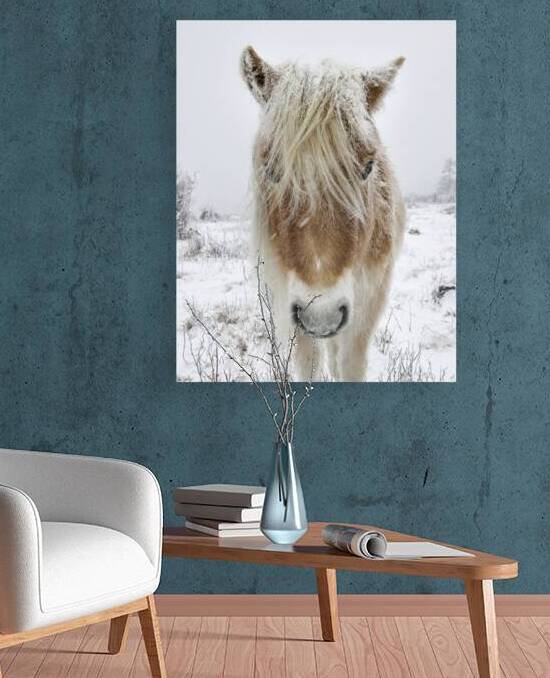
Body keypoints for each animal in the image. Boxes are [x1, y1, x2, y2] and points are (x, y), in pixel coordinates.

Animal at [241, 46, 406, 381]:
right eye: (271, 170)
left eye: (368, 167)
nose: (322, 315)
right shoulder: (292, 308)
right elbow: (311, 366)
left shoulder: (368, 302)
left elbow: (351, 364)